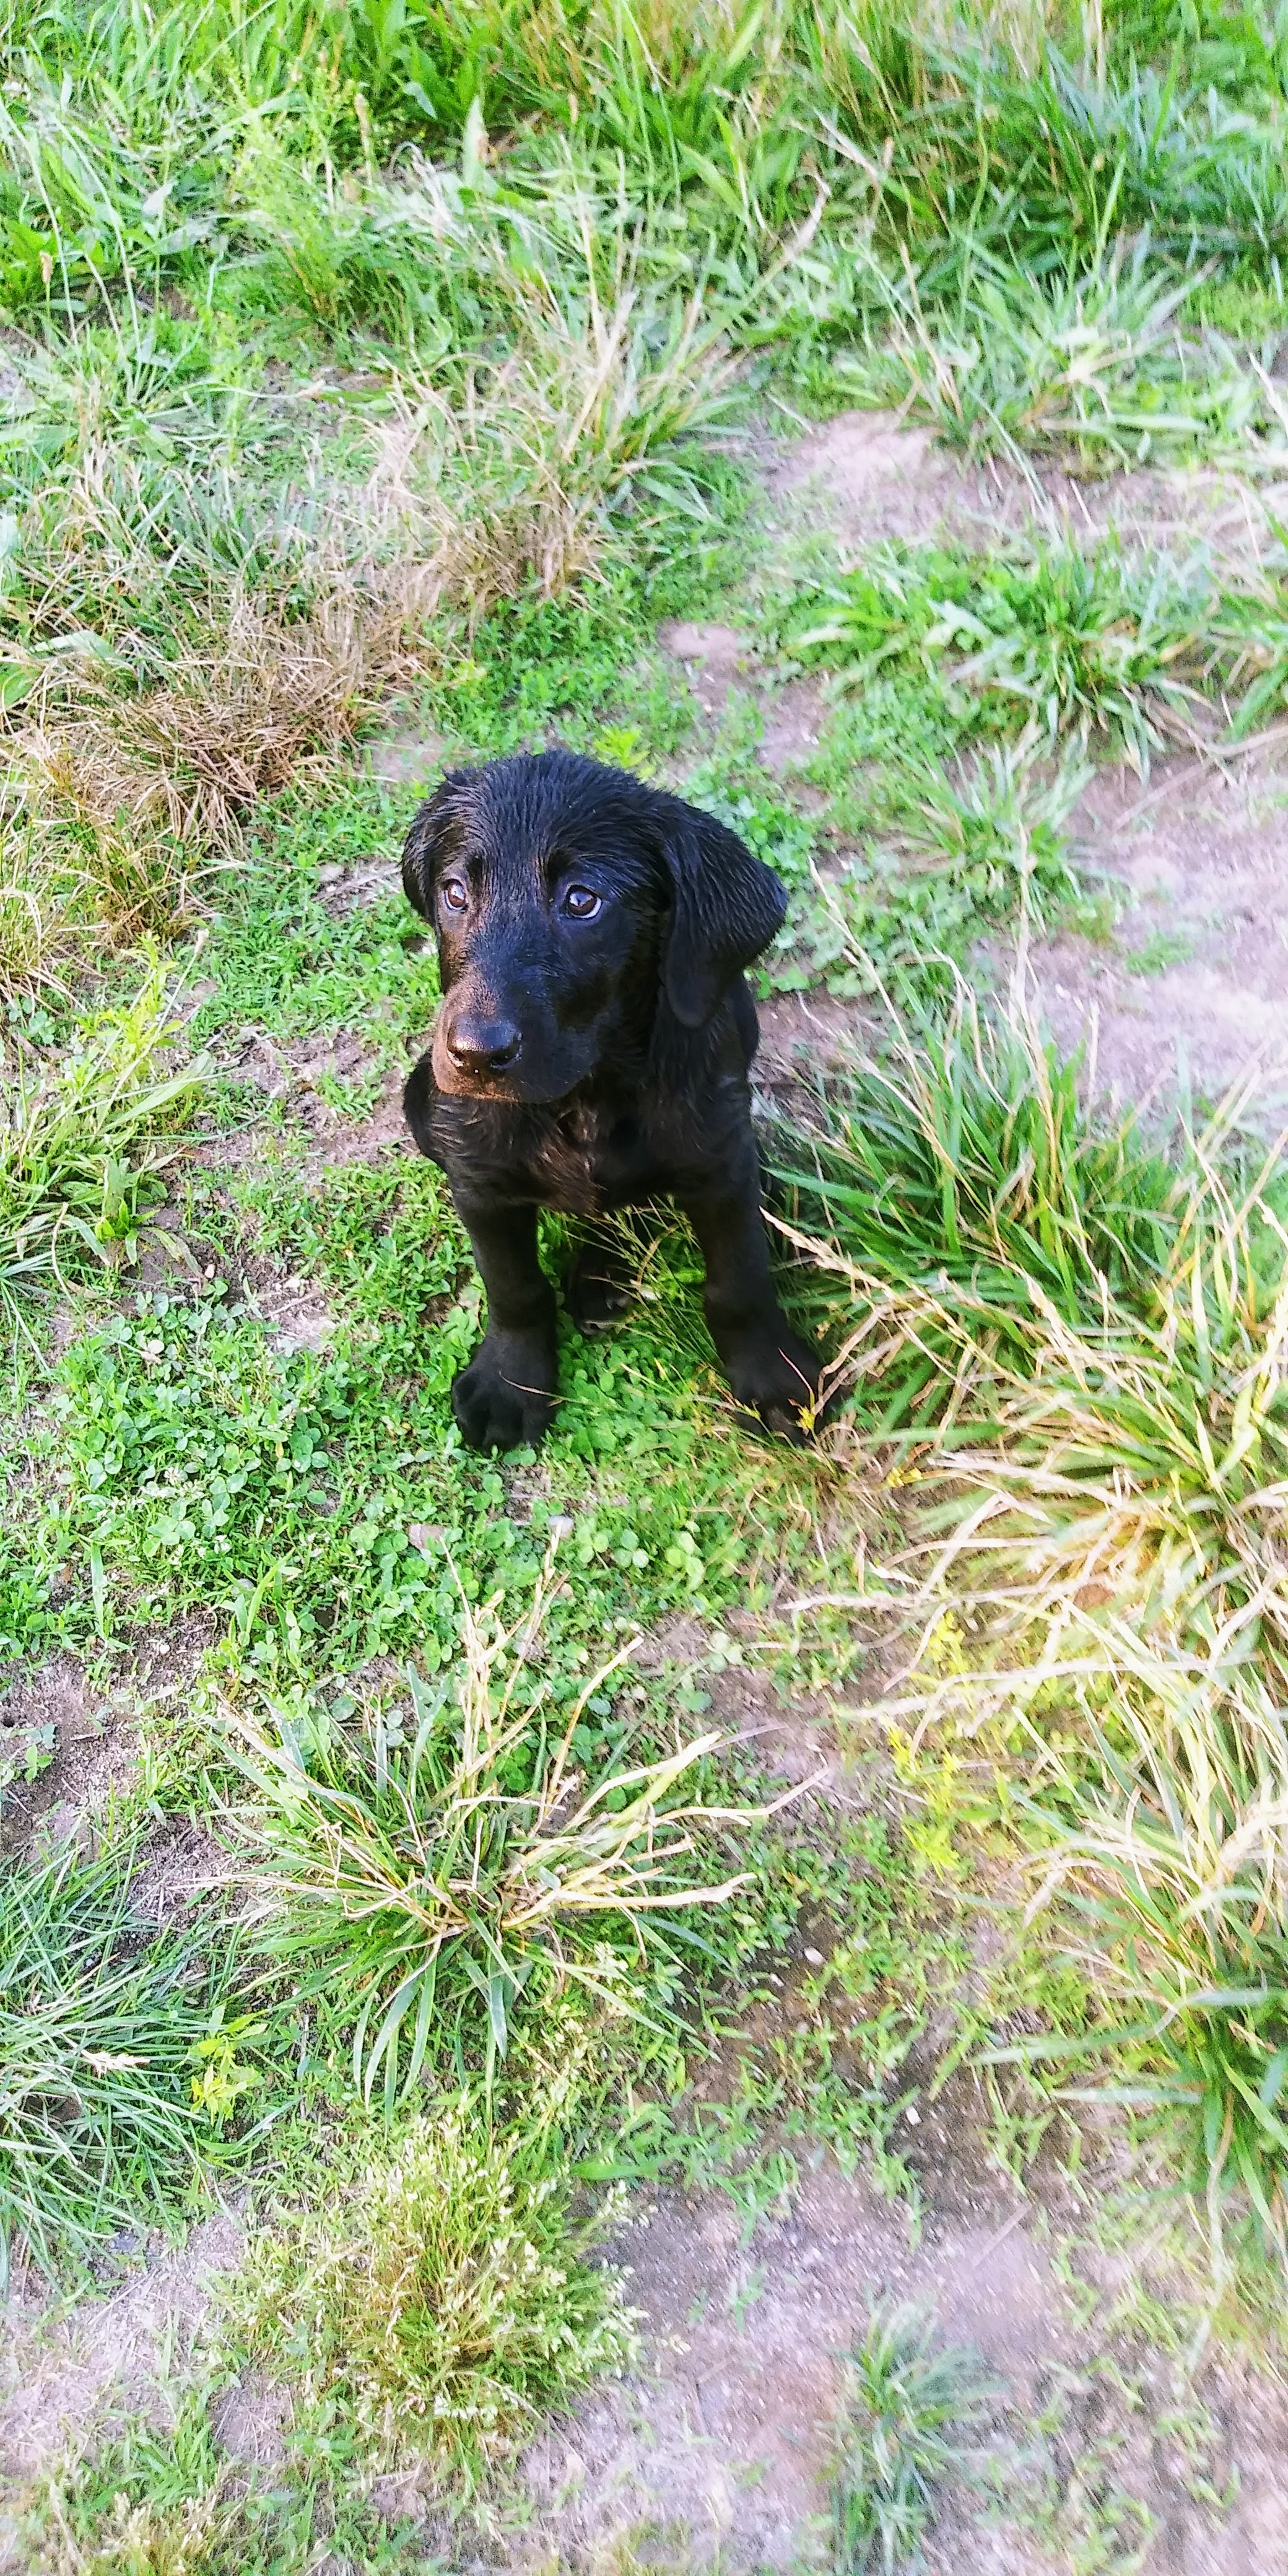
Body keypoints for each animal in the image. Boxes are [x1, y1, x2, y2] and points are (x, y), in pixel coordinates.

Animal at [401, 752, 819, 1463]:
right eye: (455, 893)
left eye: (582, 901)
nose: (474, 1055)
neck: (585, 1093)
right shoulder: (478, 1180)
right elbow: (513, 1288)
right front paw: (511, 1381)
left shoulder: (723, 1164)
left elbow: (739, 1282)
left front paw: (773, 1376)